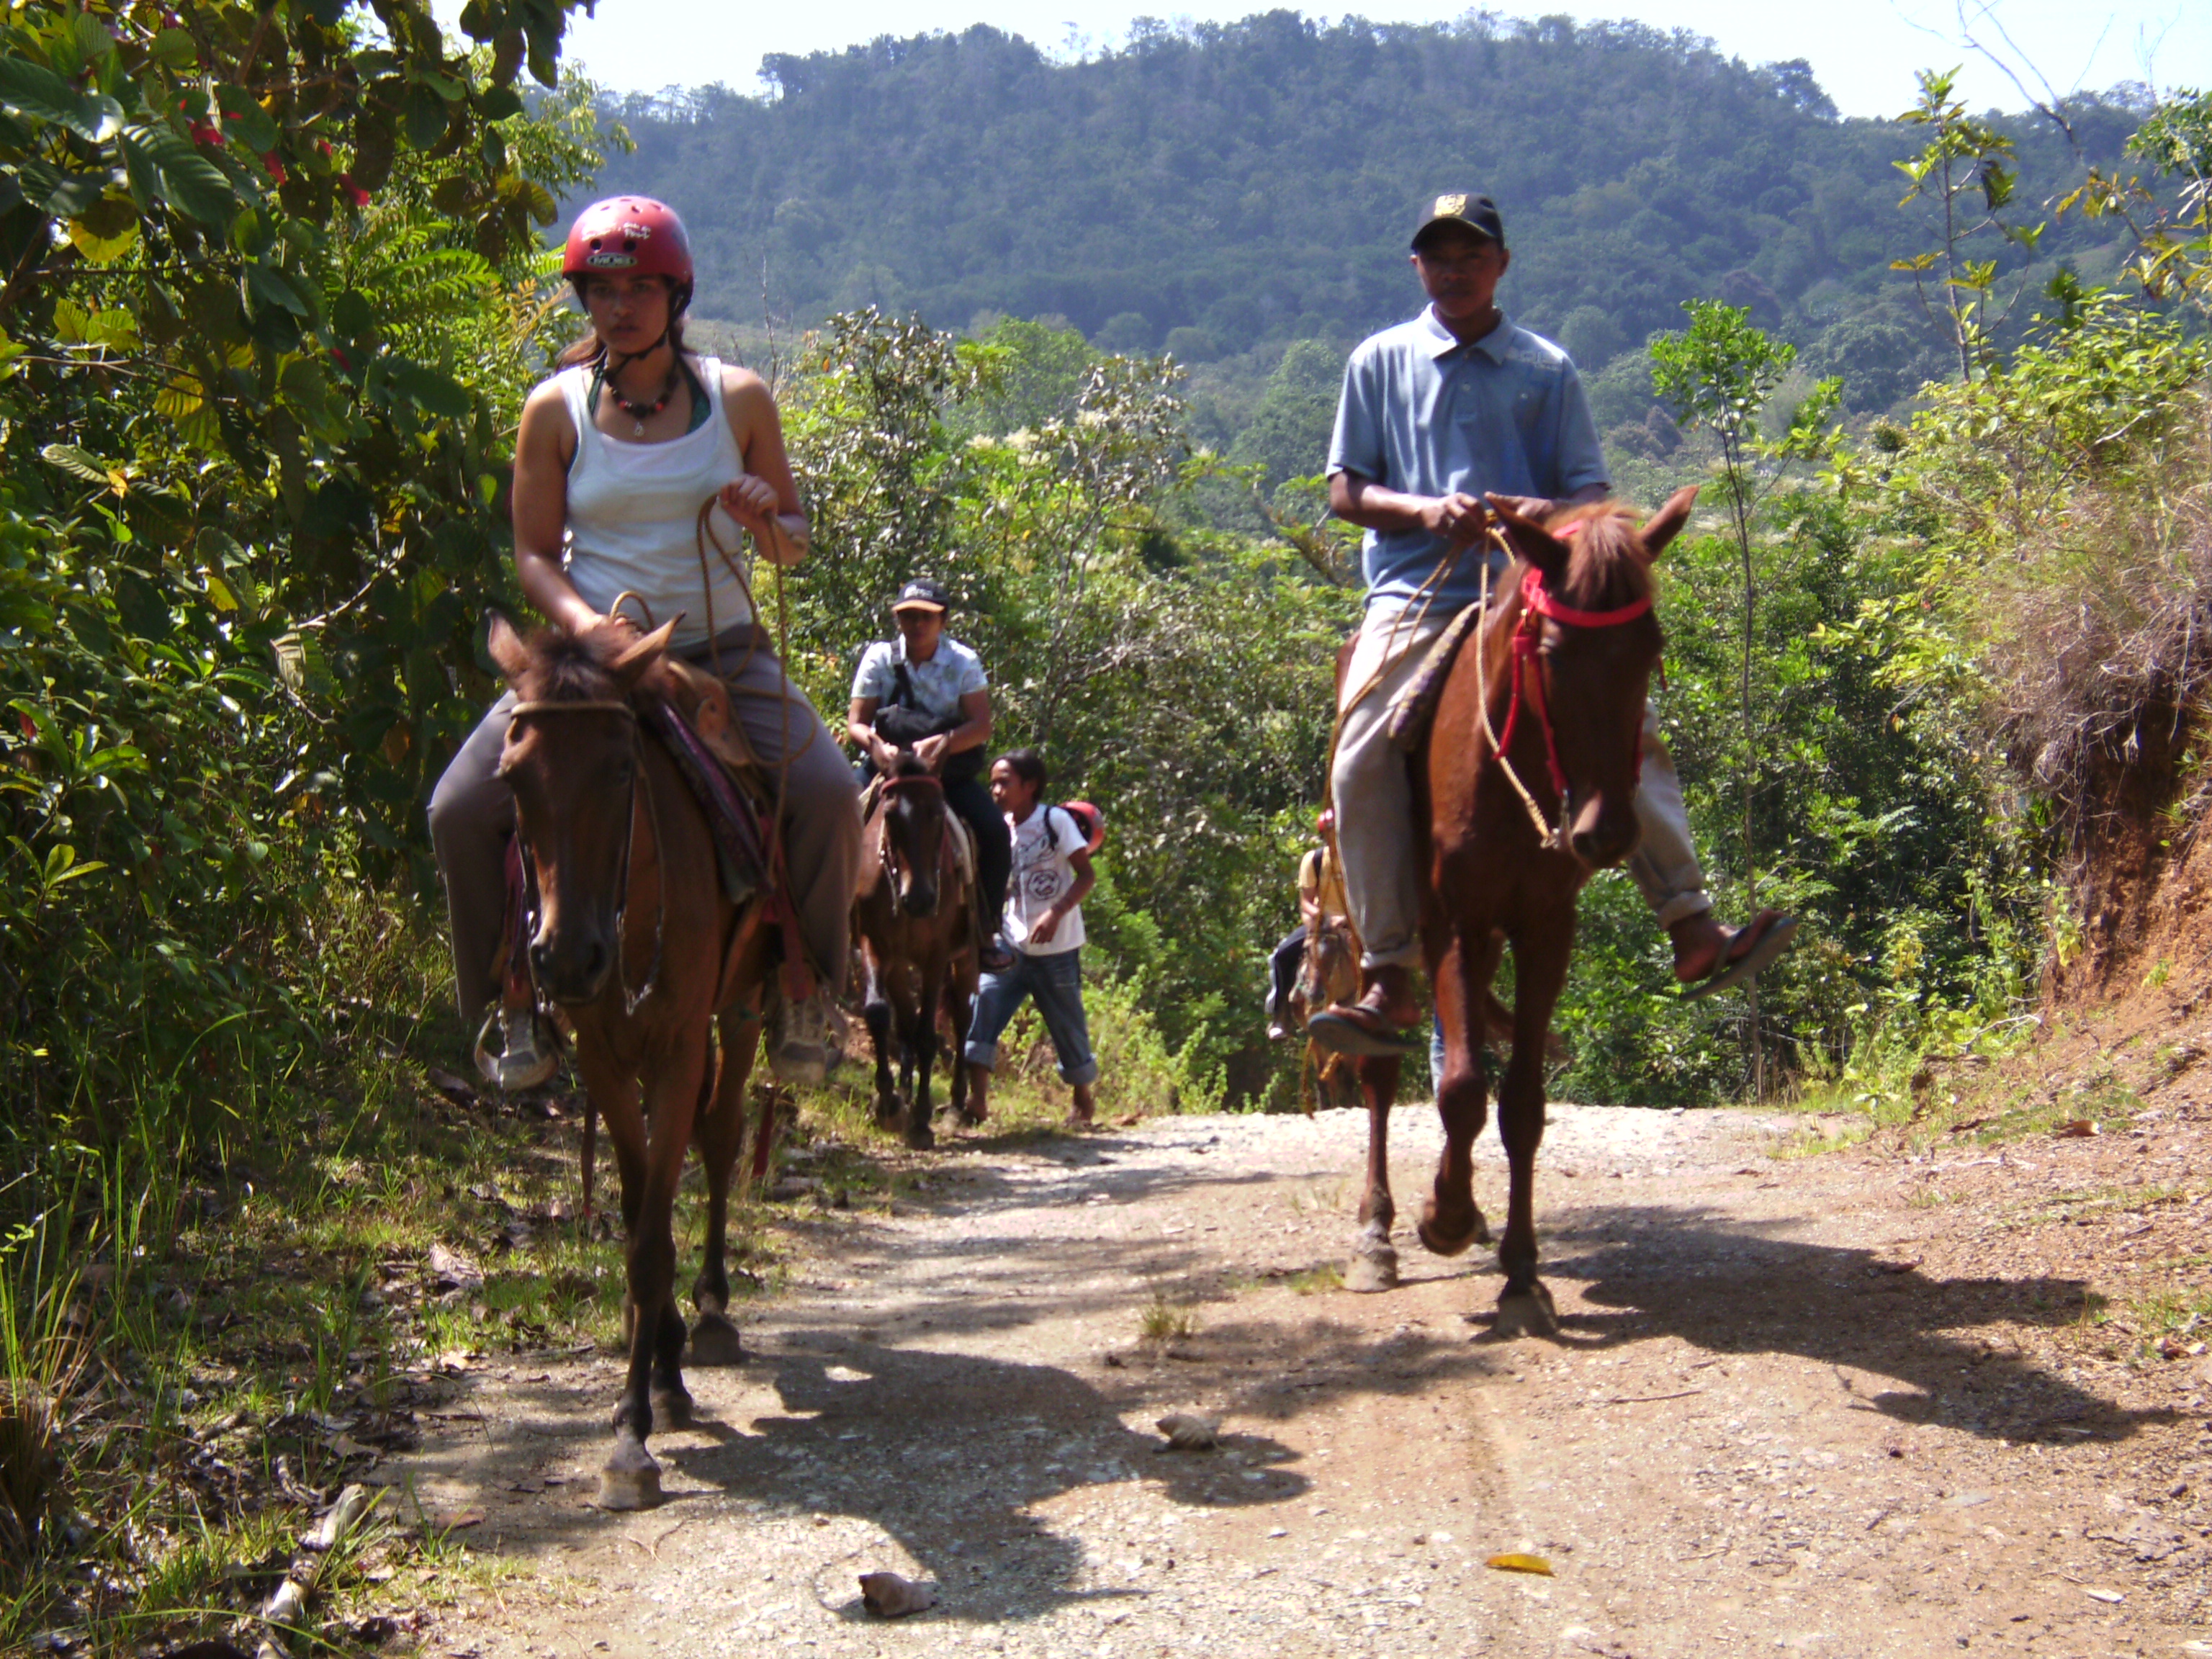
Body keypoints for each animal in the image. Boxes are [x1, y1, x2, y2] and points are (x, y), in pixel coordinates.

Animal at [486, 619, 778, 1513]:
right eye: (512, 776)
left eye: (621, 768)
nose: (566, 958)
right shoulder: (605, 1055)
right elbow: (635, 1201)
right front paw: (655, 1374)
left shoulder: (679, 1047)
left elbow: (653, 1236)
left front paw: (633, 1432)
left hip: (740, 1009)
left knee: (720, 1138)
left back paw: (713, 1312)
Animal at [853, 752, 977, 1150]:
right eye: (891, 815)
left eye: (937, 812)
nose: (920, 899)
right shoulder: (874, 944)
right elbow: (879, 1014)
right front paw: (889, 1103)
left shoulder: (935, 956)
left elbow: (927, 1035)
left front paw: (922, 1120)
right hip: (896, 964)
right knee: (905, 1020)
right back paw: (904, 1095)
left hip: (967, 957)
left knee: (962, 1020)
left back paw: (956, 1104)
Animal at [1344, 484, 1690, 1336]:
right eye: (1554, 652)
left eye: (1651, 646)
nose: (1606, 831)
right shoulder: (1452, 925)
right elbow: (1463, 1089)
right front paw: (1443, 1217)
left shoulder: (1544, 928)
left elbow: (1522, 1104)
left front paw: (1521, 1274)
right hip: (1369, 921)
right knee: (1377, 1064)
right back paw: (1378, 1232)